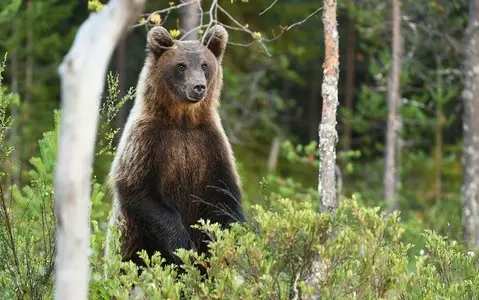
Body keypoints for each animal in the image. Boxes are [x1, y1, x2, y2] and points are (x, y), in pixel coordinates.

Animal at [106, 24, 246, 268]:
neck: (183, 121)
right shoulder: (147, 141)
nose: (198, 87)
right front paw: (186, 250)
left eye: (204, 65)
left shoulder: (210, 144)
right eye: (181, 65)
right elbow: (141, 191)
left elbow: (224, 195)